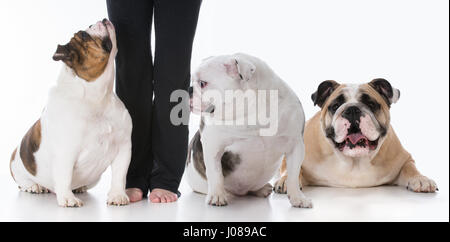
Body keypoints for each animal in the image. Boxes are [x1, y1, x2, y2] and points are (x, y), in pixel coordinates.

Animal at [9, 19, 132, 208]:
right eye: (84, 34)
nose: (102, 19)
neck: (96, 96)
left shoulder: (123, 147)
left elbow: (120, 175)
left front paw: (118, 195)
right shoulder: (66, 151)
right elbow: (64, 176)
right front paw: (68, 198)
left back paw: (79, 188)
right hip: (16, 162)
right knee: (23, 181)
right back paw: (34, 186)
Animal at [185, 53, 312, 208]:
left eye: (203, 83)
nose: (189, 89)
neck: (251, 111)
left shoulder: (296, 145)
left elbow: (293, 175)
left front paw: (298, 198)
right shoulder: (213, 147)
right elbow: (215, 173)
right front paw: (217, 195)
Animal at [274, 79, 436, 193]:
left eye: (371, 104)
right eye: (335, 106)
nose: (352, 109)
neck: (355, 162)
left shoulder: (404, 158)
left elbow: (410, 168)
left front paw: (421, 179)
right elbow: (292, 168)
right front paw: (286, 181)